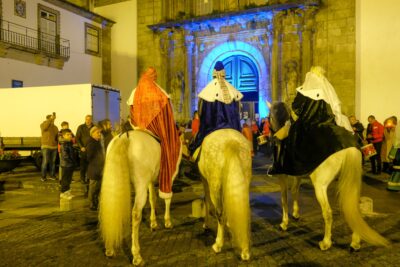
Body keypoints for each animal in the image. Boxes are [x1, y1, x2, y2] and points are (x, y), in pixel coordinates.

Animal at [97, 130, 179, 266]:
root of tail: (124, 137)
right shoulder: (169, 177)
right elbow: (167, 199)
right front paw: (167, 221)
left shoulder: (150, 180)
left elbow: (152, 199)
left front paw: (153, 222)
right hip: (140, 185)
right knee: (136, 214)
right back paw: (137, 255)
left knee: (110, 209)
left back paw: (109, 249)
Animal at [198, 130, 252, 262]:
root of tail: (231, 141)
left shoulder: (204, 181)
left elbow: (206, 202)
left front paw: (206, 224)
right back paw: (245, 250)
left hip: (214, 187)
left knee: (219, 214)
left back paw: (218, 245)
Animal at [268, 102, 390, 251]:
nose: (271, 134)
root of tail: (349, 146)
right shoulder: (298, 174)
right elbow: (295, 191)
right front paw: (296, 214)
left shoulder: (282, 175)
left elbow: (284, 199)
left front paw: (284, 223)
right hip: (349, 182)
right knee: (353, 209)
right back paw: (355, 242)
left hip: (320, 186)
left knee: (327, 213)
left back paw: (326, 243)